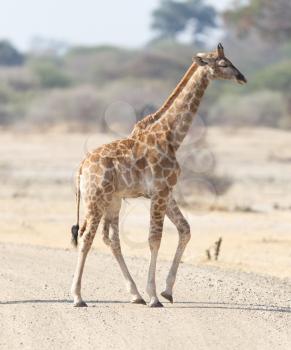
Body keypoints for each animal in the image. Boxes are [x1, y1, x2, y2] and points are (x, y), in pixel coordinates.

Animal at [70, 43, 246, 306]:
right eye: (223, 64)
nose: (242, 77)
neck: (172, 136)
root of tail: (81, 167)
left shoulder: (167, 192)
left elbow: (185, 230)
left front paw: (166, 291)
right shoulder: (160, 192)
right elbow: (155, 239)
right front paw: (154, 296)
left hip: (113, 200)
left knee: (110, 239)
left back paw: (134, 295)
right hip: (95, 199)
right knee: (86, 238)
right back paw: (78, 297)